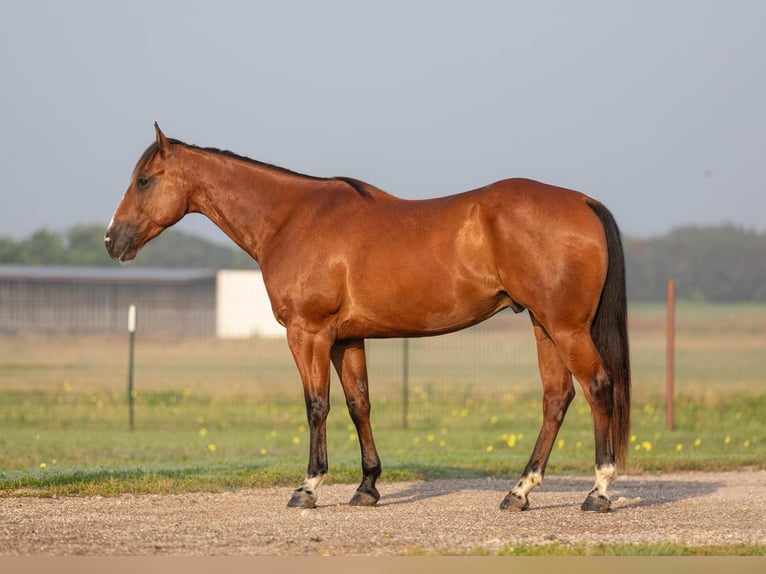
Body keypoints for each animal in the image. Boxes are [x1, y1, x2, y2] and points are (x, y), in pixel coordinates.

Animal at [105, 123, 631, 512]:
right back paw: (519, 491)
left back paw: (598, 491)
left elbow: (317, 405)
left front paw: (308, 487)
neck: (291, 219)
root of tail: (583, 202)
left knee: (598, 387)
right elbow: (360, 404)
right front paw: (367, 487)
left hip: (565, 328)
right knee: (556, 398)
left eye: (144, 180)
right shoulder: (346, 339)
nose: (112, 240)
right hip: (544, 327)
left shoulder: (309, 333)